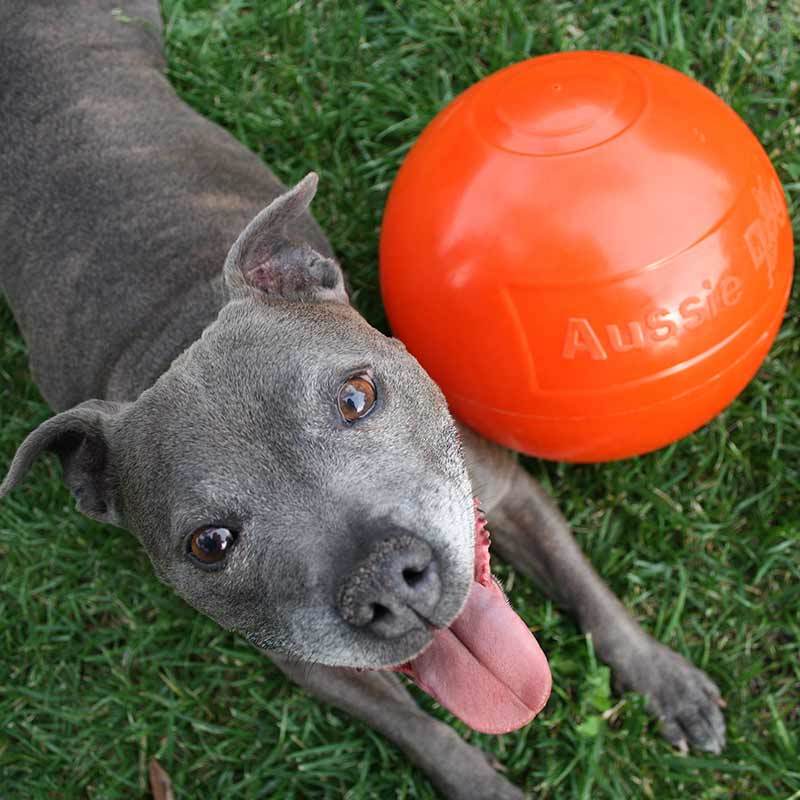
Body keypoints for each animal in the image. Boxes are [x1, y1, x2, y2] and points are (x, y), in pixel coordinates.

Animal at [0, 3, 724, 796]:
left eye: (356, 397)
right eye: (210, 544)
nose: (387, 584)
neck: (176, 330)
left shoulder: (505, 490)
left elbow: (586, 588)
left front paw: (663, 680)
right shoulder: (315, 664)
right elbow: (425, 731)